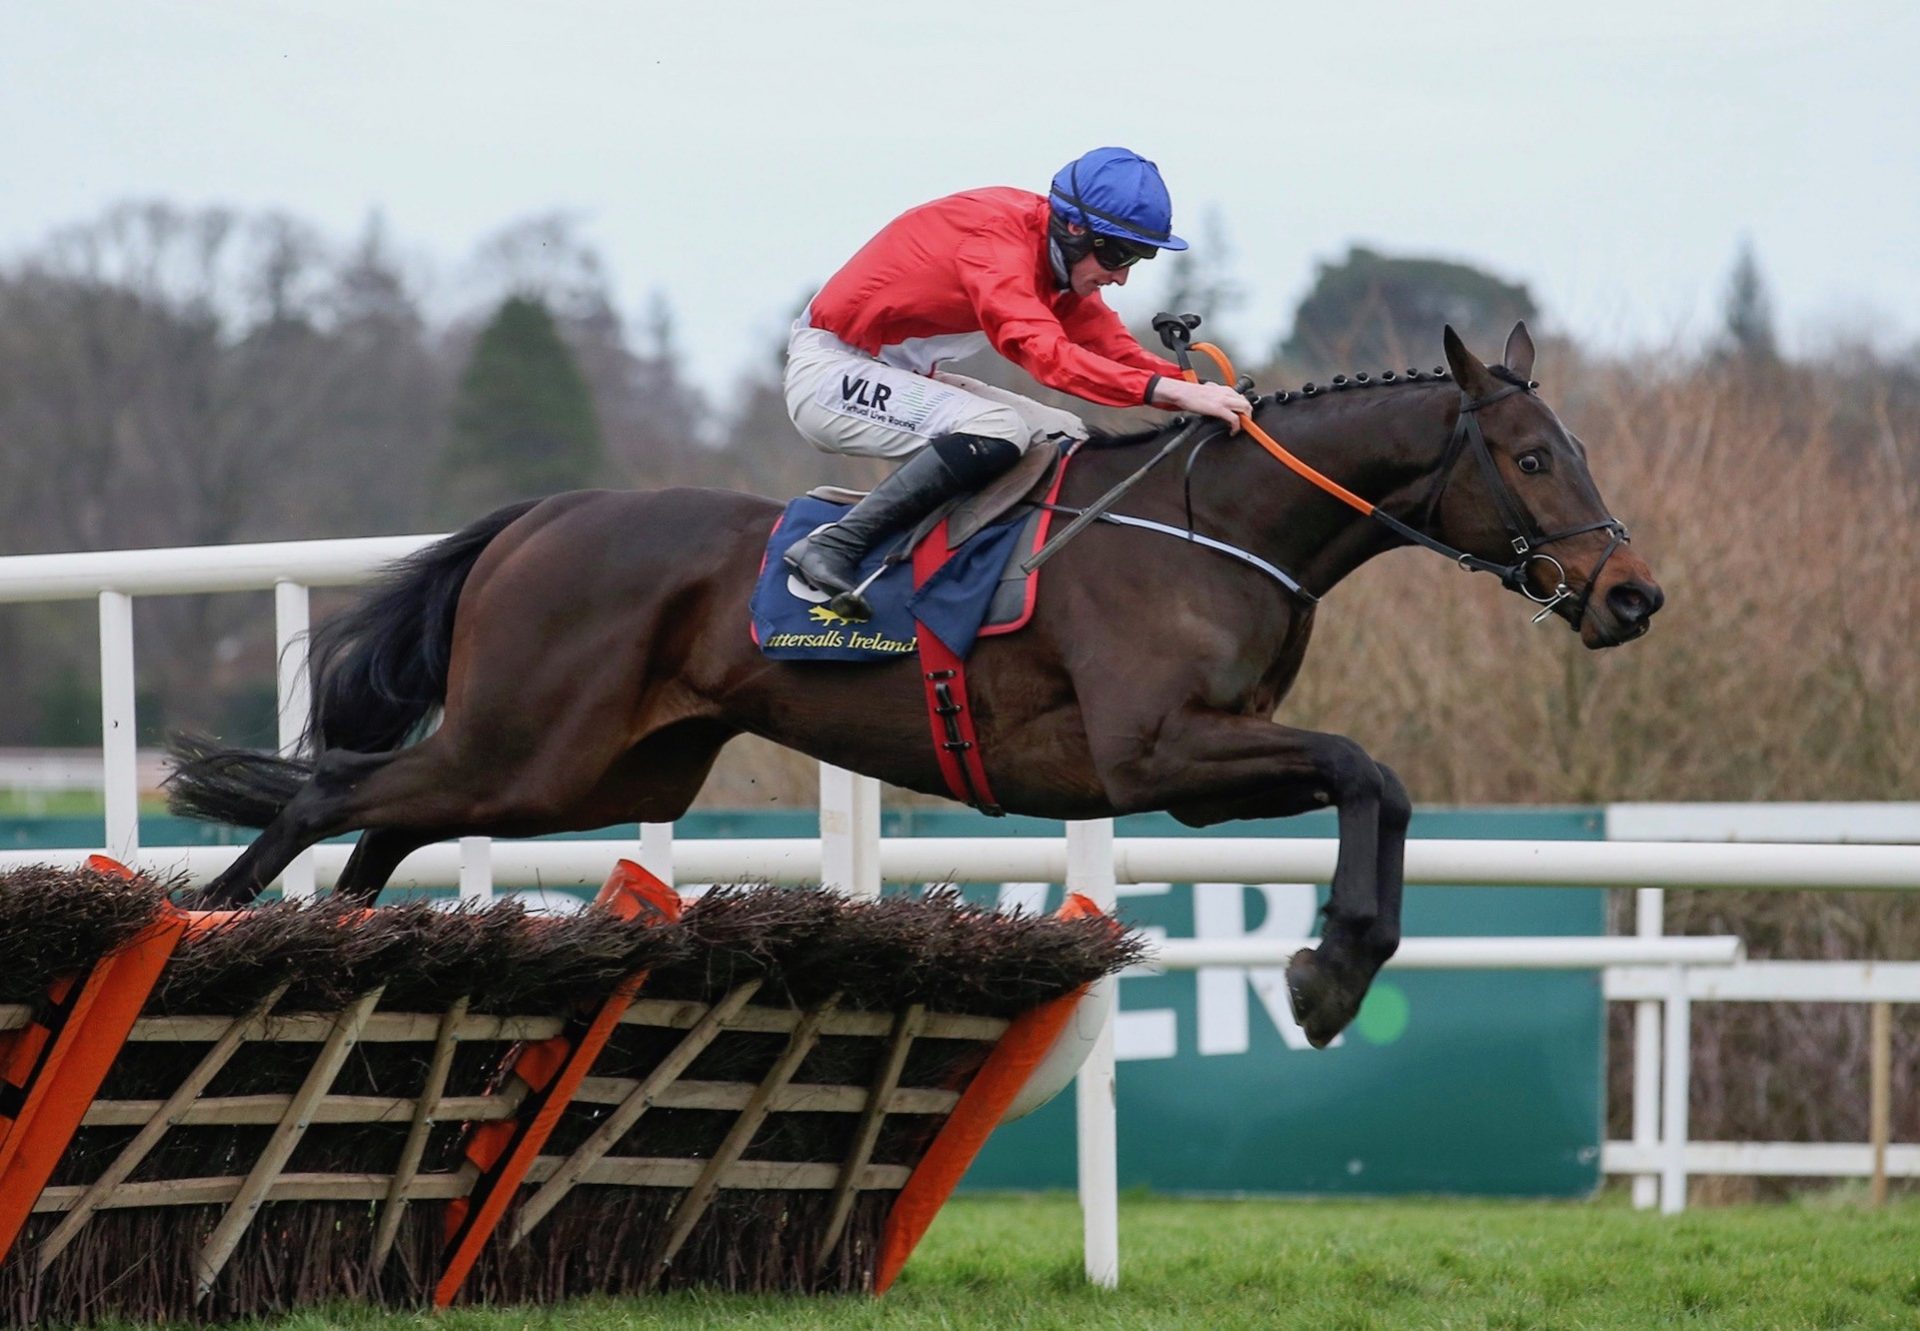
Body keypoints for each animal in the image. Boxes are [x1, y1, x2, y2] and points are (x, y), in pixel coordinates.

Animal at [168, 316, 1666, 1044]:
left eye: (1587, 447)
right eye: (1533, 455)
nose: (1632, 593)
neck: (1214, 524)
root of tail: (541, 516)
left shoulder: (1210, 760)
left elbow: (1383, 785)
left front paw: (1340, 965)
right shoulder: (1157, 753)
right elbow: (1367, 764)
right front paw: (1332, 967)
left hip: (588, 771)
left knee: (387, 822)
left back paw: (344, 953)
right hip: (528, 746)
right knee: (333, 796)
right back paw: (219, 935)